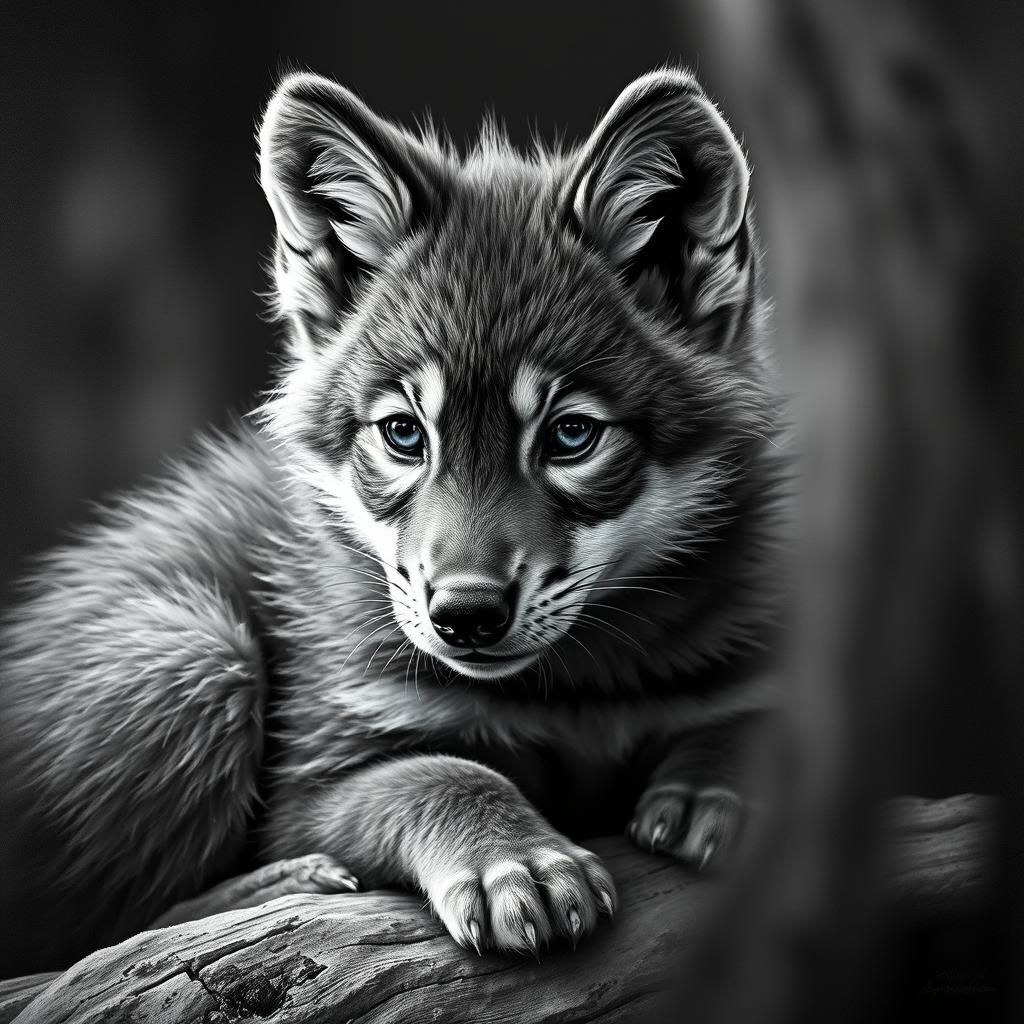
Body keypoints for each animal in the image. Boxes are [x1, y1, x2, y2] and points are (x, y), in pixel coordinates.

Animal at [0, 67, 785, 971]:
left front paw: (718, 783)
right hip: (195, 651)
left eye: (571, 435)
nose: (465, 615)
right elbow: (443, 772)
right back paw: (290, 884)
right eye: (405, 434)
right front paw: (517, 861)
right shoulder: (313, 781)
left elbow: (760, 718)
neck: (575, 694)